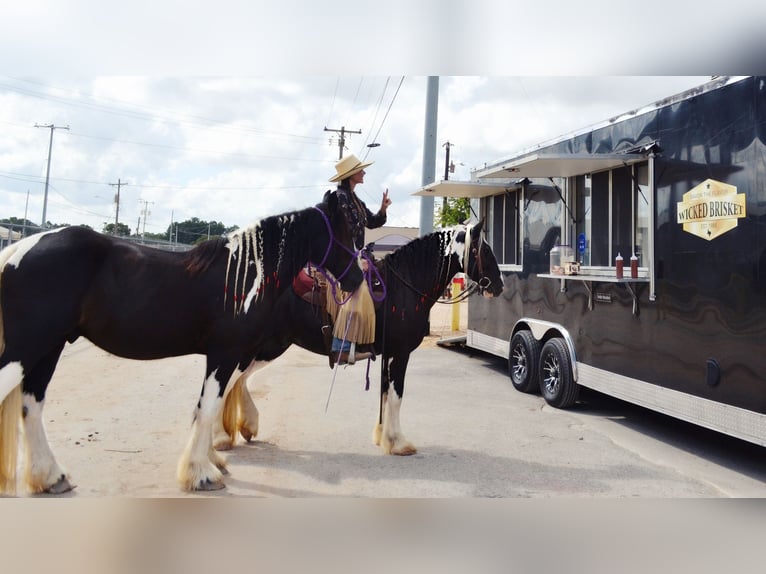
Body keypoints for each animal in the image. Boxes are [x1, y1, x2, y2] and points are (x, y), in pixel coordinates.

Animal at [0, 195, 364, 496]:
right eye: (347, 231)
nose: (358, 279)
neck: (243, 276)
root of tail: (20, 249)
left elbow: (210, 406)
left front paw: (210, 462)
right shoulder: (225, 354)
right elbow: (208, 408)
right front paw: (202, 474)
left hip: (49, 348)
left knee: (31, 406)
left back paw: (52, 478)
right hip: (28, 348)